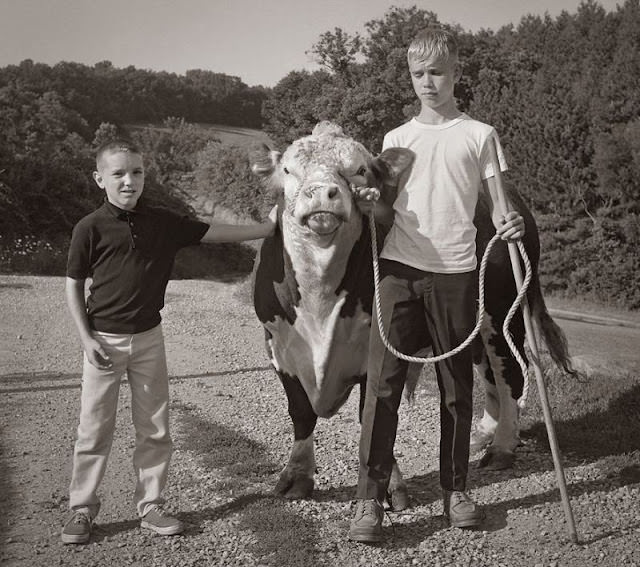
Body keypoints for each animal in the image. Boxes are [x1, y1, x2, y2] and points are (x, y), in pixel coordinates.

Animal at [249, 121, 576, 506]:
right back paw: (482, 435)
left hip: (500, 311)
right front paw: (297, 475)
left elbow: (372, 413)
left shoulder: (377, 346)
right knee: (489, 378)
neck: (320, 297)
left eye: (359, 170)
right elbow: (301, 412)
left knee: (509, 372)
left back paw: (503, 448)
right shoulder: (278, 345)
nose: (321, 194)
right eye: (288, 170)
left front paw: (388, 484)